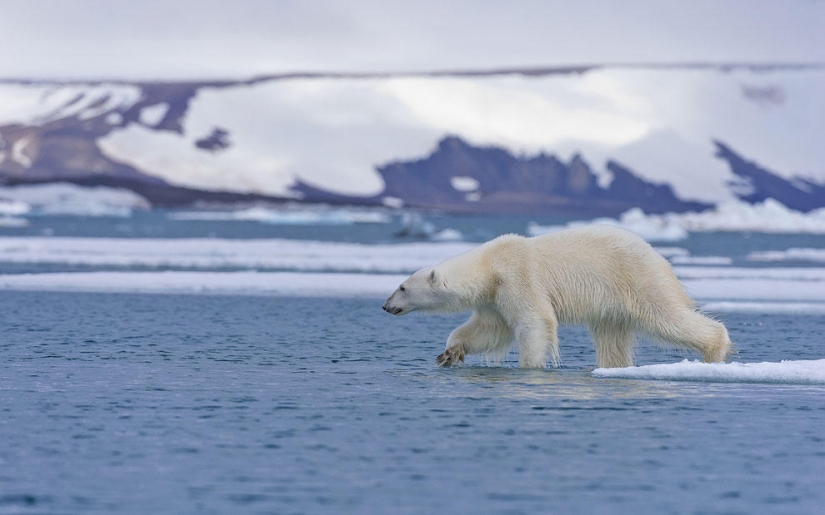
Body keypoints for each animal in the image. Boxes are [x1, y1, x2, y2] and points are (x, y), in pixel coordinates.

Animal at [382, 225, 732, 369]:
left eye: (402, 287)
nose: (386, 306)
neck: (490, 264)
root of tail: (661, 259)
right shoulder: (493, 298)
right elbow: (488, 329)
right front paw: (449, 353)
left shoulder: (518, 277)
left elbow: (533, 321)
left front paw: (530, 366)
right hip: (612, 304)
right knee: (612, 337)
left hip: (637, 279)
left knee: (665, 316)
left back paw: (715, 350)